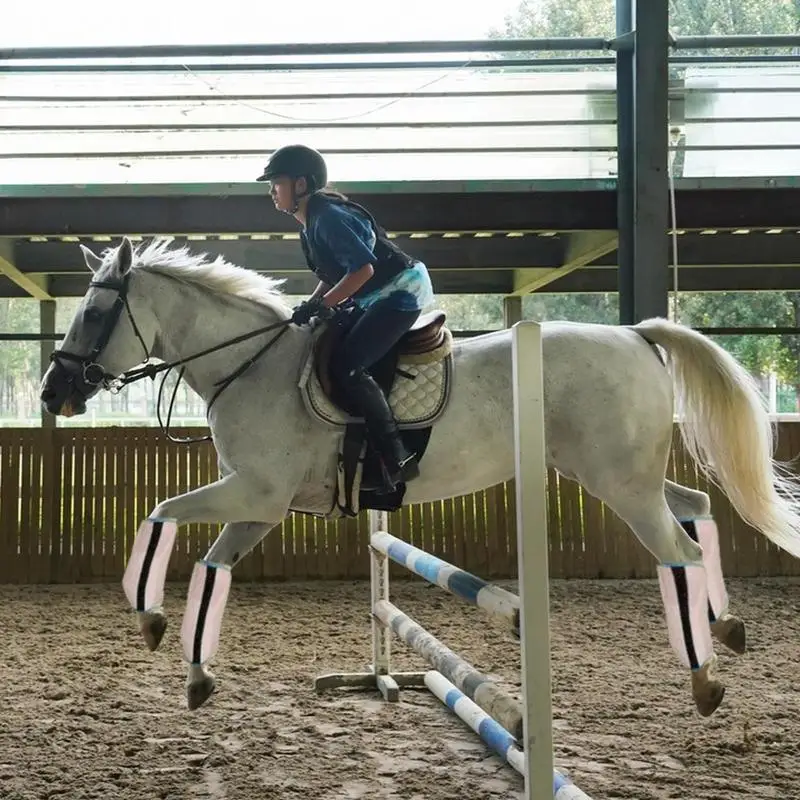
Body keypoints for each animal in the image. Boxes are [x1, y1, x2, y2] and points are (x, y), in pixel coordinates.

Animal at [40, 239, 800, 720]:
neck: (249, 364)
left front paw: (149, 617)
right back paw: (728, 626)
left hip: (622, 485)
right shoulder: (258, 505)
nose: (55, 392)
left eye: (96, 314)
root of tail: (637, 335)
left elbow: (159, 511)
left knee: (679, 551)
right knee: (696, 506)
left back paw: (705, 680)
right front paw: (193, 670)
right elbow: (210, 566)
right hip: (620, 475)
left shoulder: (256, 493)